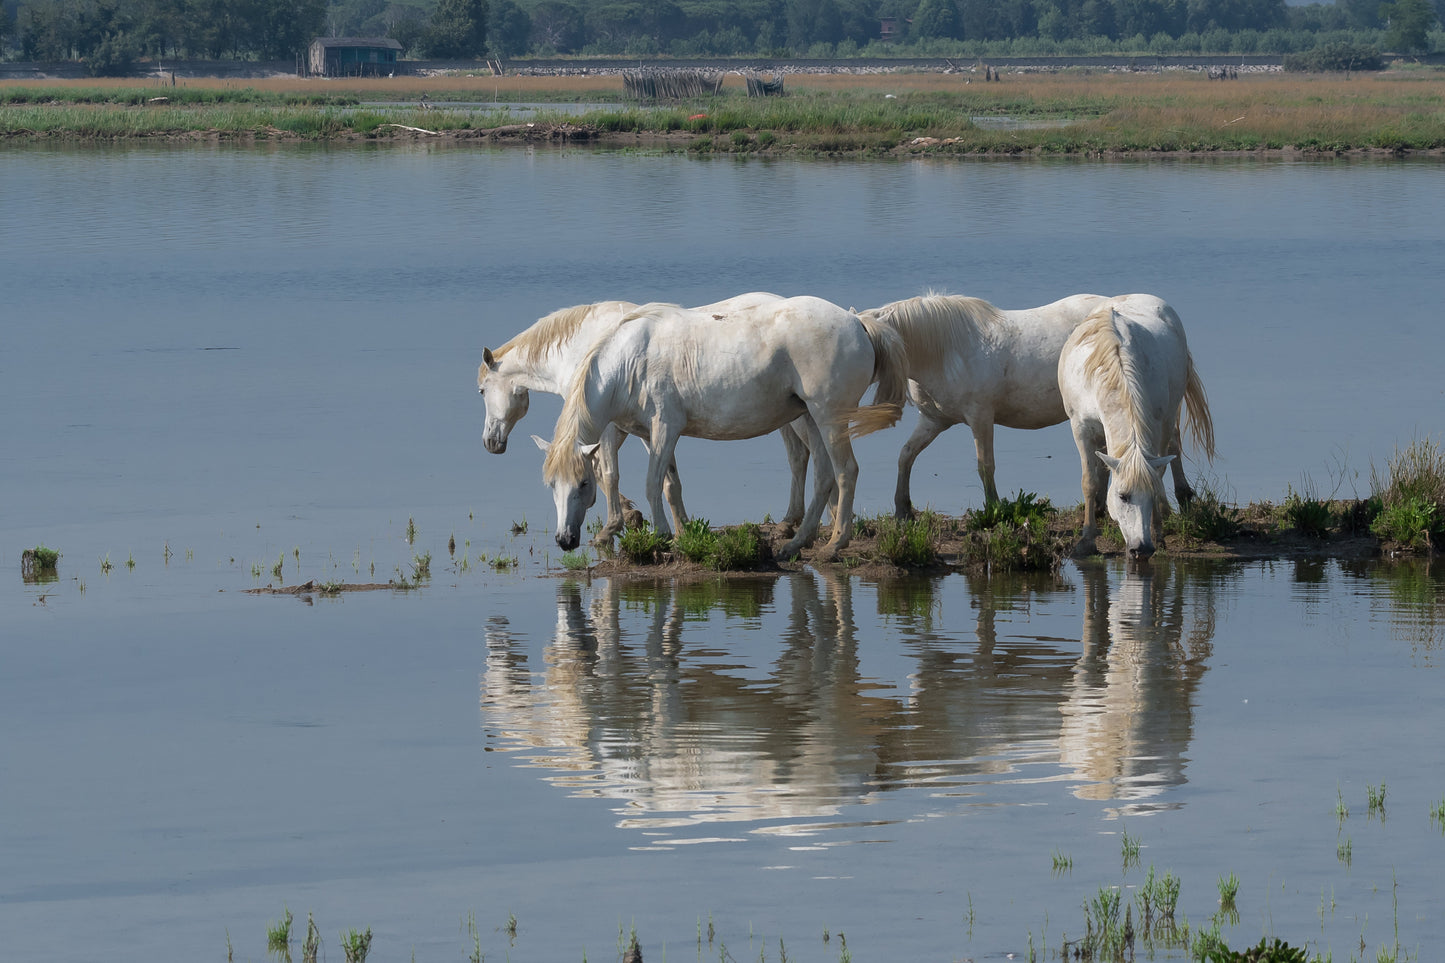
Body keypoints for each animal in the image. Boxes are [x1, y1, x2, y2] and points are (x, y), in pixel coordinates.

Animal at [478, 293, 786, 543]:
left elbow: (607, 473)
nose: (490, 442)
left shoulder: (606, 426)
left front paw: (620, 521)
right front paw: (680, 528)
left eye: (481, 391)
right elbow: (666, 481)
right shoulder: (633, 428)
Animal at [532, 295, 909, 561]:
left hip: (830, 418)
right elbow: (669, 484)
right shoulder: (649, 434)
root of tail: (857, 322)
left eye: (583, 483)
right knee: (824, 476)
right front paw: (681, 534)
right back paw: (796, 544)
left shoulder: (665, 427)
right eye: (551, 485)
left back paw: (835, 544)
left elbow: (653, 483)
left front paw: (661, 537)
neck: (630, 362)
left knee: (845, 472)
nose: (565, 540)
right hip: (812, 421)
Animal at [855, 292, 1112, 517]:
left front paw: (994, 508)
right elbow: (906, 455)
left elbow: (985, 465)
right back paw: (1099, 506)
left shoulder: (981, 417)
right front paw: (903, 510)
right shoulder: (933, 421)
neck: (948, 352)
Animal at [1057, 294, 1215, 559]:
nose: (1141, 548)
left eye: (1148, 495)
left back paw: (1180, 497)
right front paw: (1087, 540)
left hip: (1170, 411)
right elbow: (1089, 480)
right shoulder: (1080, 427)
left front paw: (1158, 532)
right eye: (1123, 496)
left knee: (1173, 443)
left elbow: (1158, 473)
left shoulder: (1157, 424)